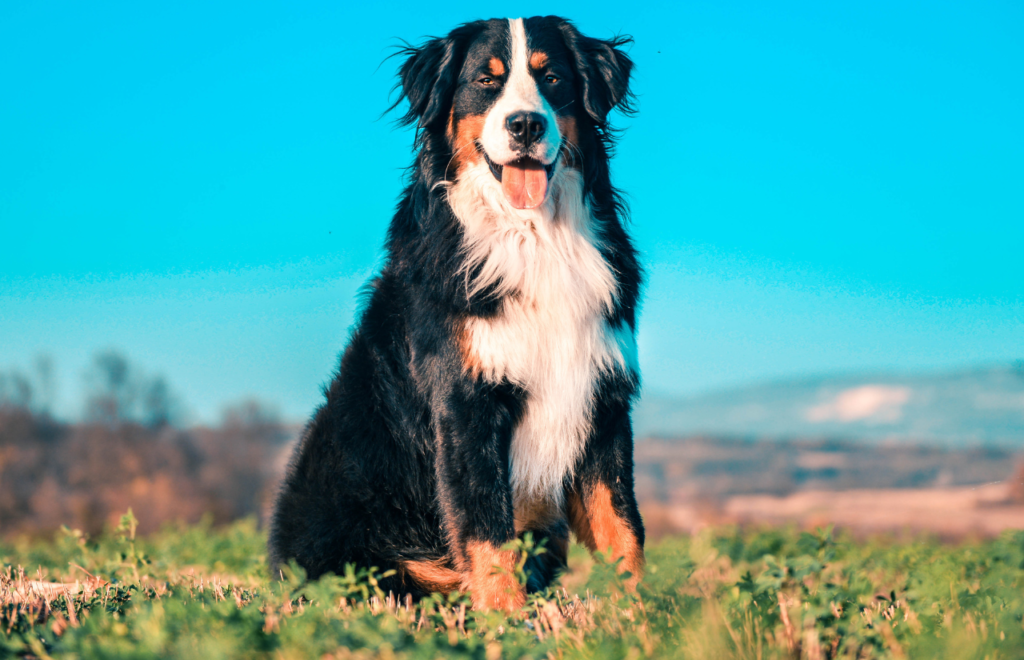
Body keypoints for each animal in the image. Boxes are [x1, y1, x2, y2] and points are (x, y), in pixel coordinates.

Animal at [268, 15, 643, 609]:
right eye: (486, 81)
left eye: (553, 78)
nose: (525, 125)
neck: (534, 239)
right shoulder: (465, 404)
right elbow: (487, 532)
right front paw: (506, 620)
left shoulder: (603, 399)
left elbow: (622, 528)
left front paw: (642, 618)